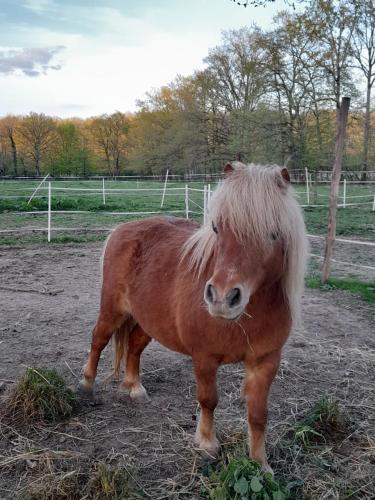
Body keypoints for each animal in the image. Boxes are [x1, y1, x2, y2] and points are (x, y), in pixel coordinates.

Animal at [81, 162, 306, 470]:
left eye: (273, 233)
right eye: (217, 227)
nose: (222, 298)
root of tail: (122, 229)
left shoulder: (266, 362)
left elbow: (258, 414)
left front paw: (261, 463)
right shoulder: (204, 357)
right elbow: (208, 400)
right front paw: (207, 444)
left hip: (149, 322)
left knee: (134, 348)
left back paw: (134, 388)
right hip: (112, 311)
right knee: (98, 340)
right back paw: (86, 386)